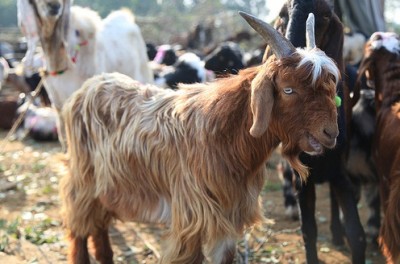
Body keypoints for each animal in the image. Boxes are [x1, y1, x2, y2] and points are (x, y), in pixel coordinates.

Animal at [60, 12, 340, 264]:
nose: (331, 133)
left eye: (331, 86)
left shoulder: (229, 217)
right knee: (78, 226)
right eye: (288, 89)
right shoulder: (191, 218)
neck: (225, 135)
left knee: (98, 224)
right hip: (83, 178)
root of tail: (89, 86)